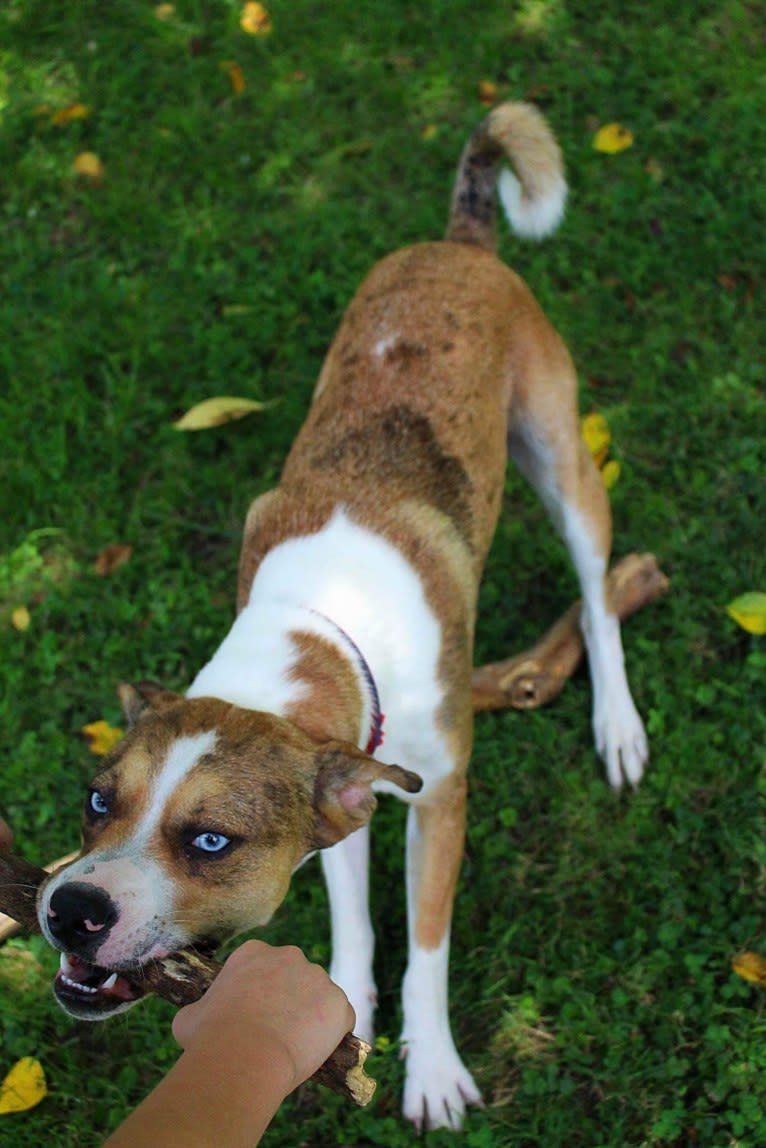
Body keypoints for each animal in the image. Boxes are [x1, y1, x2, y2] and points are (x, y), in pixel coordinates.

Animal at [35, 101, 647, 1129]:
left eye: (211, 842)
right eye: (96, 800)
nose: (68, 910)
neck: (321, 625)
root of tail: (457, 243)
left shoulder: (440, 794)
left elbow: (429, 944)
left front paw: (431, 1068)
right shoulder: (350, 779)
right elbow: (355, 916)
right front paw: (343, 1009)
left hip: (563, 457)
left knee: (599, 593)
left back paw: (617, 722)